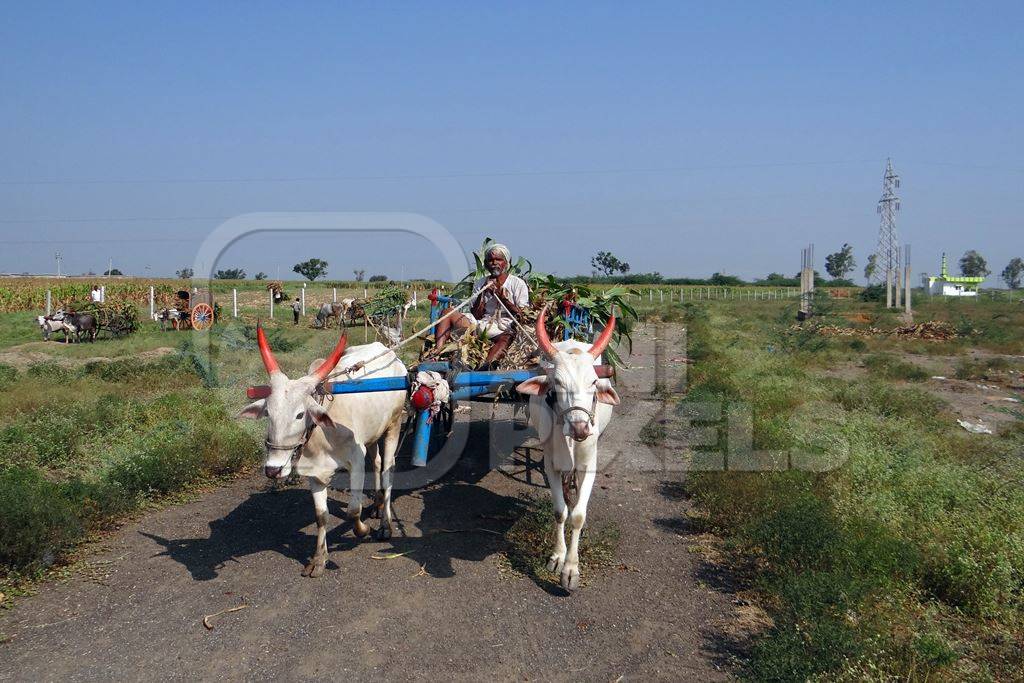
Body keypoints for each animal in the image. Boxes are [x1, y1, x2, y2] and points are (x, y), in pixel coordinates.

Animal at [237, 325, 405, 577]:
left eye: (299, 414)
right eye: (268, 413)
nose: (273, 470)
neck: (321, 434)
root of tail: (388, 352)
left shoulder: (356, 461)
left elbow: (353, 510)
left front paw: (363, 530)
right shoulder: (314, 474)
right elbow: (321, 516)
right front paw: (319, 559)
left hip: (393, 425)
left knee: (387, 470)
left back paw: (385, 525)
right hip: (373, 434)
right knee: (376, 463)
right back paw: (376, 504)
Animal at [516, 309, 618, 593]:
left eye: (594, 381)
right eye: (557, 383)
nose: (581, 427)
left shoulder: (589, 465)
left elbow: (578, 516)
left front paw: (571, 569)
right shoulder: (550, 463)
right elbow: (560, 511)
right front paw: (557, 557)